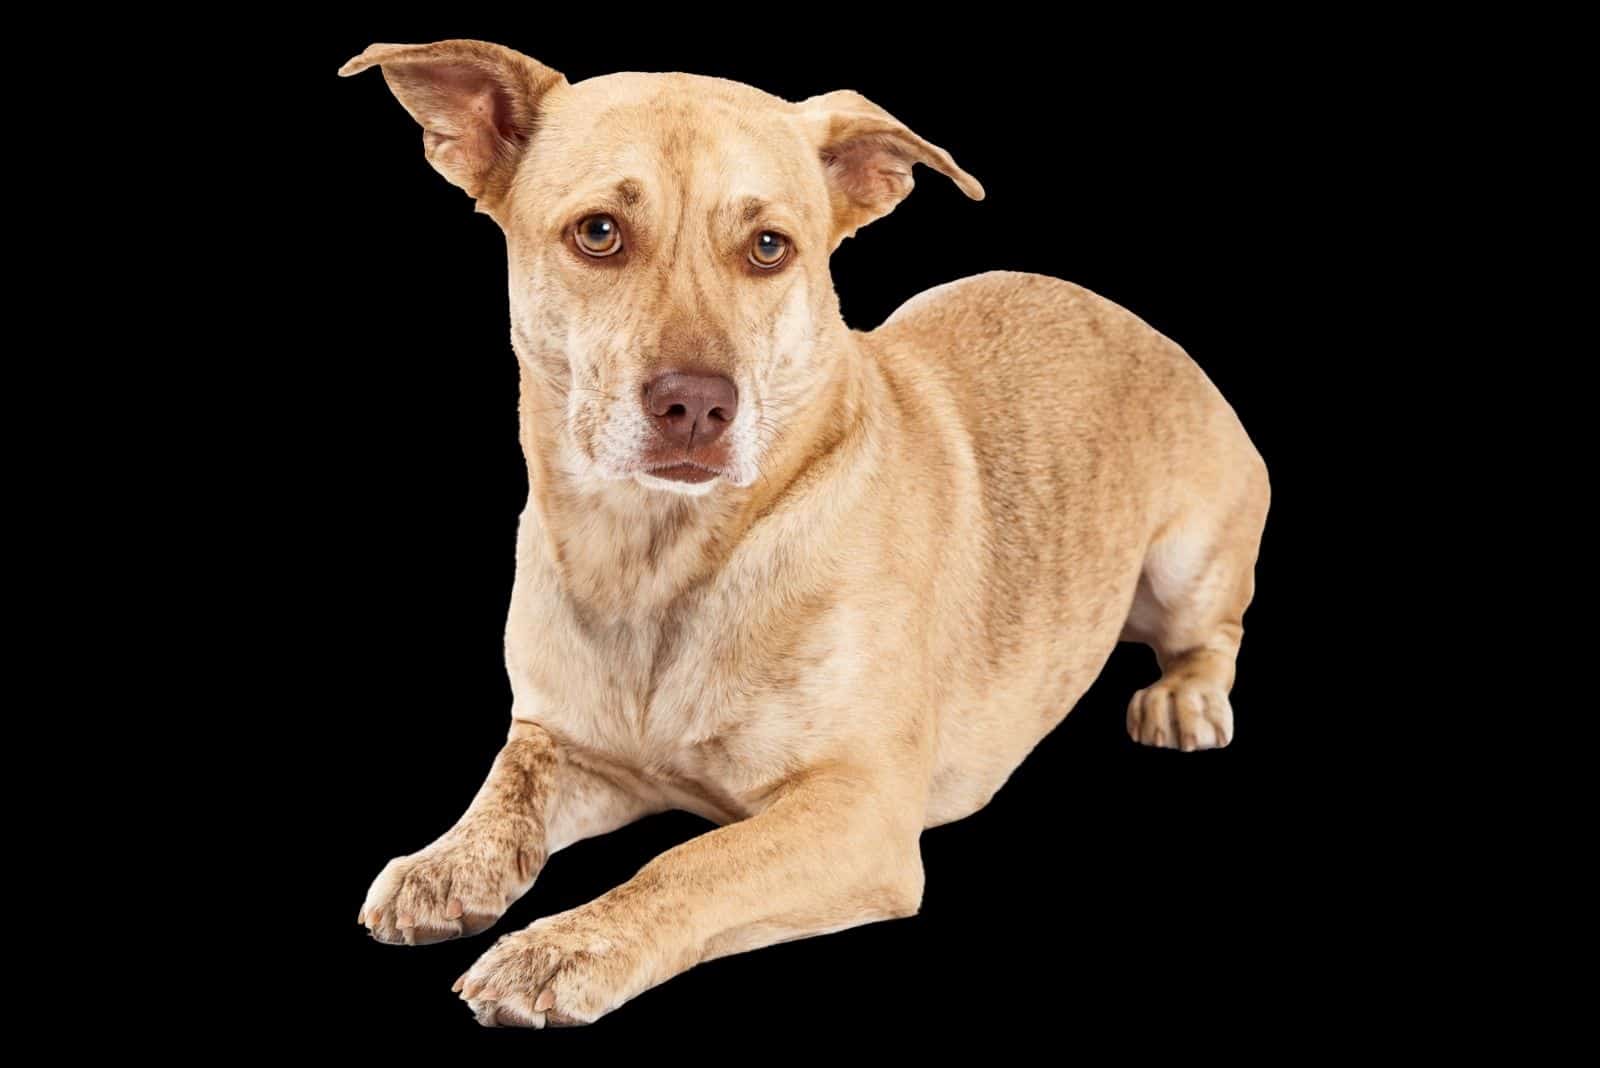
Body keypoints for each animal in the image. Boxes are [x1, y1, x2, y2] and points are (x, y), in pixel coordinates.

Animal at [340, 39, 1273, 1023]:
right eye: (598, 233)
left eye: (768, 247)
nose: (696, 405)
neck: (658, 558)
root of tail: (1131, 319)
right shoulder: (570, 743)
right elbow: (508, 784)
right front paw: (448, 862)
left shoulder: (859, 813)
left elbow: (689, 863)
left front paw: (565, 945)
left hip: (1189, 564)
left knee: (1214, 633)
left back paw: (1184, 698)